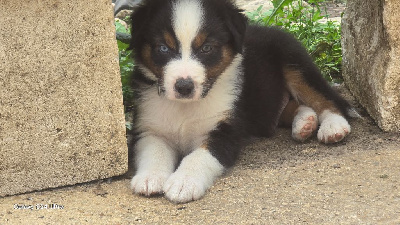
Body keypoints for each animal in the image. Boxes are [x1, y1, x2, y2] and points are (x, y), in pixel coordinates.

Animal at [126, 0, 352, 204]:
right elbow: (154, 151)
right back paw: (305, 123)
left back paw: (333, 127)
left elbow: (199, 156)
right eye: (163, 48)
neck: (186, 107)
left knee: (328, 99)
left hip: (295, 64)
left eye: (206, 48)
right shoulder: (150, 128)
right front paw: (150, 178)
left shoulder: (226, 130)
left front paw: (183, 182)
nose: (184, 86)